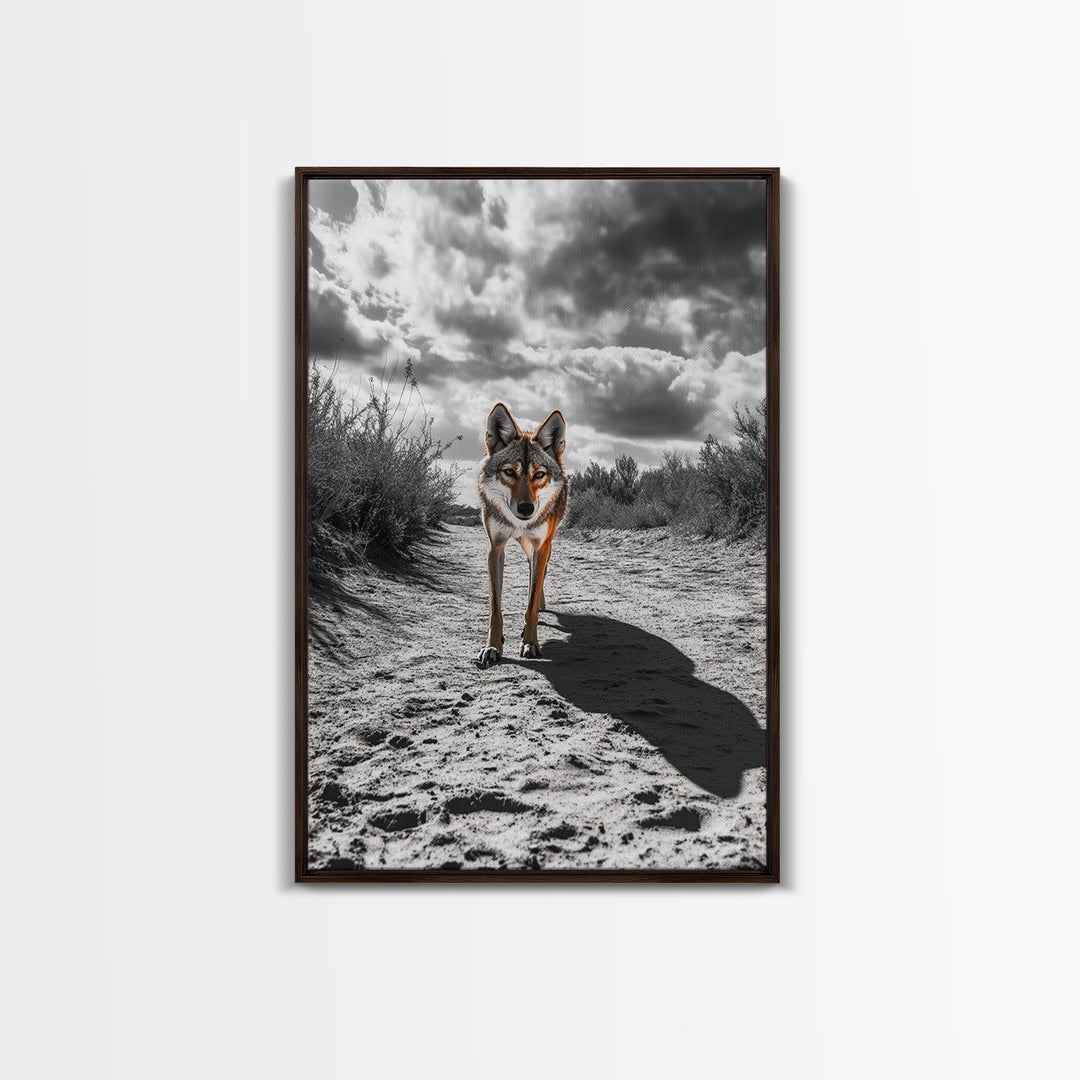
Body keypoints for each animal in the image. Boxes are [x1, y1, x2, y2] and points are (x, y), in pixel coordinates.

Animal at [476, 403, 568, 668]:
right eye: (509, 472)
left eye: (539, 475)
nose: (526, 509)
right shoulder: (495, 548)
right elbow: (495, 608)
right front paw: (492, 647)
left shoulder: (541, 546)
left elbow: (531, 602)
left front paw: (530, 642)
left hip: (543, 546)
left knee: (538, 577)